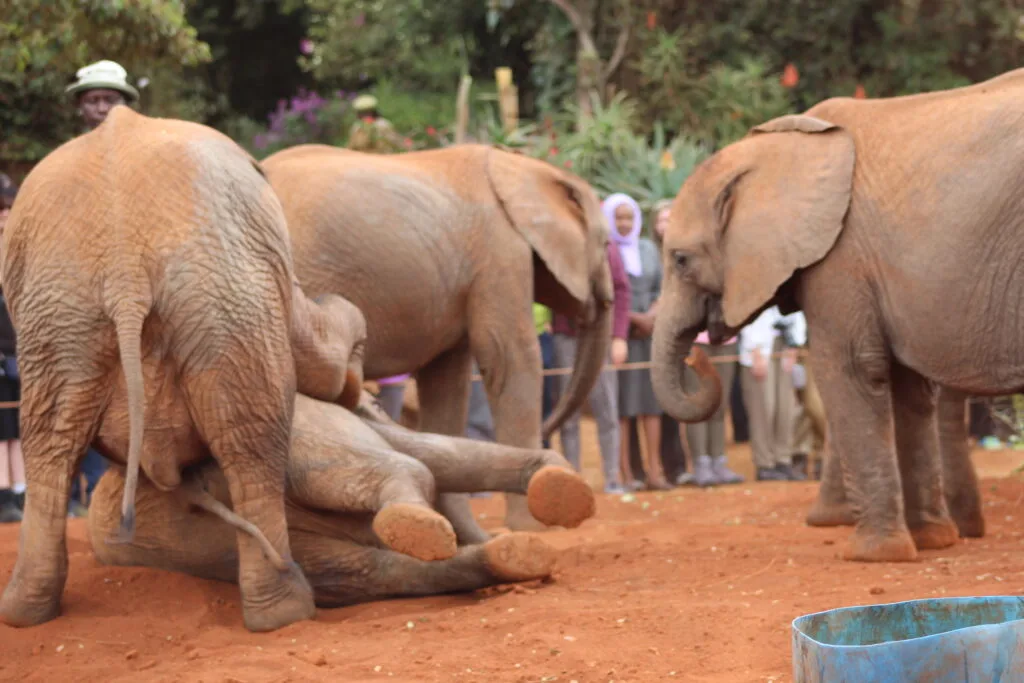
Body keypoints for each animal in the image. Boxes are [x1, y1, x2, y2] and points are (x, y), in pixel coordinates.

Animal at [0, 106, 361, 632]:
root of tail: (123, 270)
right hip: (225, 288)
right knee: (254, 438)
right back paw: (287, 611)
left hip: (63, 309)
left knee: (49, 444)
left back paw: (24, 614)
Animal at [260, 143, 618, 543]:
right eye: (606, 243)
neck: (523, 165)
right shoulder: (500, 251)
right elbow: (509, 358)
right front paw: (535, 526)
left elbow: (448, 380)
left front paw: (475, 537)